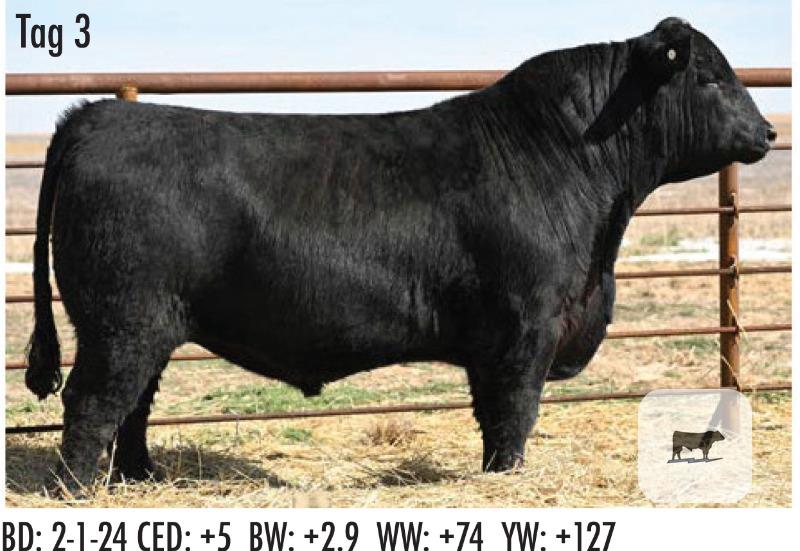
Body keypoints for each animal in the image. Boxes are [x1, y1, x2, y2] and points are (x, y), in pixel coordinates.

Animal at [25, 17, 775, 492]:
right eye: (710, 76)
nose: (768, 130)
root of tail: (99, 114)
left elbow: (491, 411)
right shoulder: (526, 324)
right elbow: (515, 408)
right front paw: (509, 475)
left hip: (147, 324)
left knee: (134, 405)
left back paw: (140, 476)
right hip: (122, 321)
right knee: (95, 402)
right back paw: (79, 491)